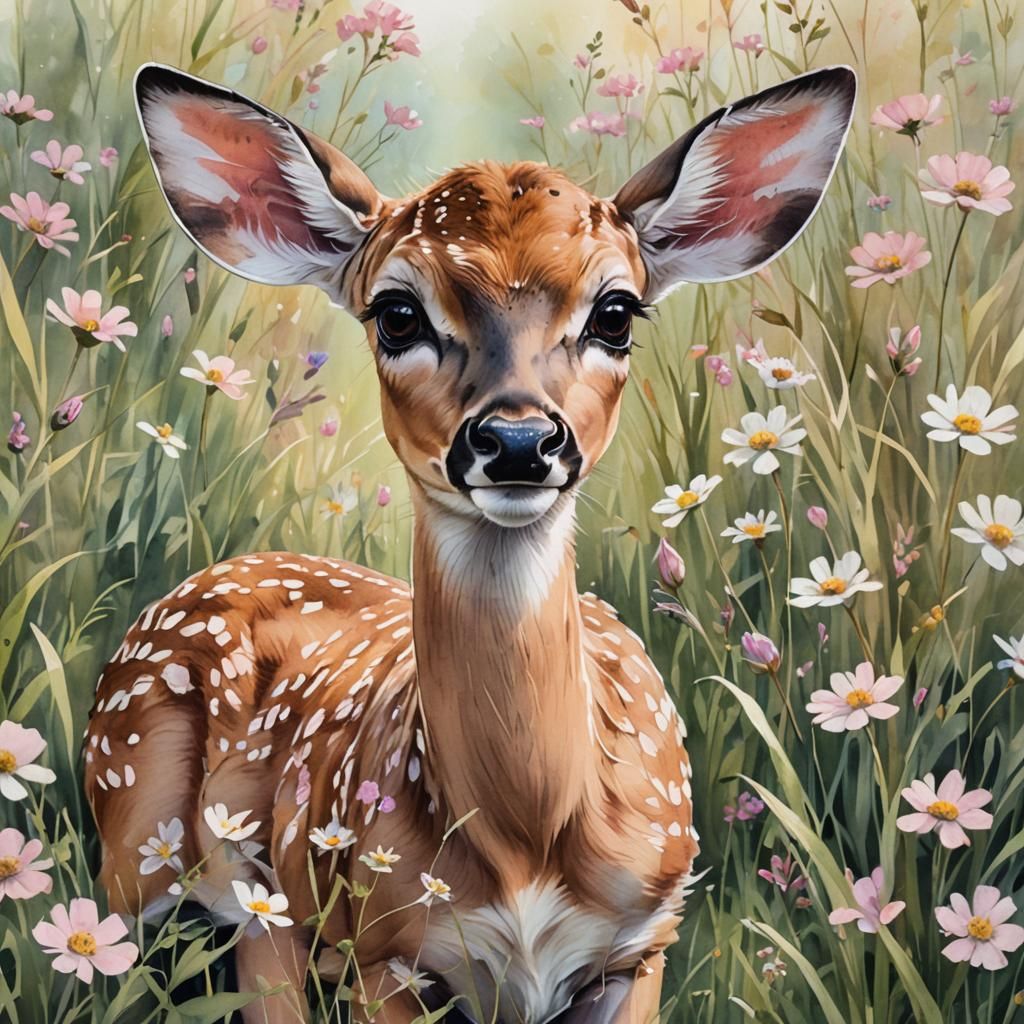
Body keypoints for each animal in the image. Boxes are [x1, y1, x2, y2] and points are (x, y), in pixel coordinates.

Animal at [83, 62, 855, 1024]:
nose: (519, 441)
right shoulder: (384, 953)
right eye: (396, 314)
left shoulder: (643, 944)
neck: (527, 836)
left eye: (616, 312)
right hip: (145, 861)